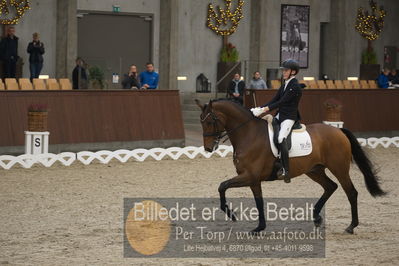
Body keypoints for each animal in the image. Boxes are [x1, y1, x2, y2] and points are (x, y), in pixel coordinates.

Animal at [195, 98, 386, 234]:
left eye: (210, 121)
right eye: (201, 122)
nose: (208, 148)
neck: (248, 134)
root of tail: (338, 131)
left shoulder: (249, 176)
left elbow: (222, 186)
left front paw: (232, 214)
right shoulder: (253, 180)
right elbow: (258, 201)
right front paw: (259, 227)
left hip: (339, 168)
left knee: (351, 192)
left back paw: (351, 226)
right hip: (314, 170)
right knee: (330, 186)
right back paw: (316, 217)